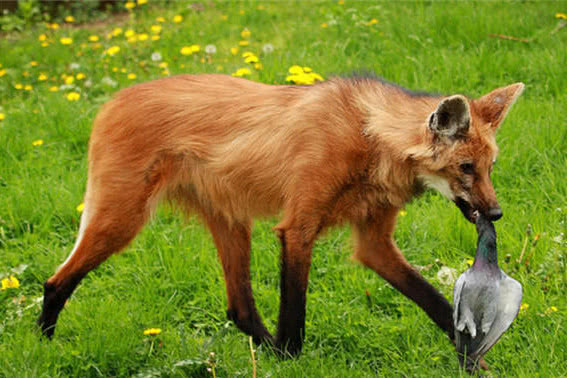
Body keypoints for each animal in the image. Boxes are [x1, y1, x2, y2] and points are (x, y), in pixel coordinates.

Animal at [37, 74, 524, 360]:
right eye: (465, 168)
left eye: (490, 167)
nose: (496, 212)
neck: (370, 138)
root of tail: (111, 100)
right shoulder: (298, 227)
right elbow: (295, 311)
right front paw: (292, 358)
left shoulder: (374, 243)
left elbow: (433, 300)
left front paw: (474, 356)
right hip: (123, 218)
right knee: (56, 280)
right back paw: (43, 345)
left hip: (231, 221)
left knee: (238, 308)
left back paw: (266, 351)